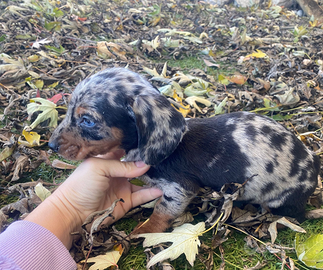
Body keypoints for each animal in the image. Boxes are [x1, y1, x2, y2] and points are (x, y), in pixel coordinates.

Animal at [49, 68, 320, 234]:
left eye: (87, 121)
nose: (50, 146)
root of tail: (313, 168)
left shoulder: (179, 189)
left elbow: (161, 211)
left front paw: (145, 231)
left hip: (278, 202)